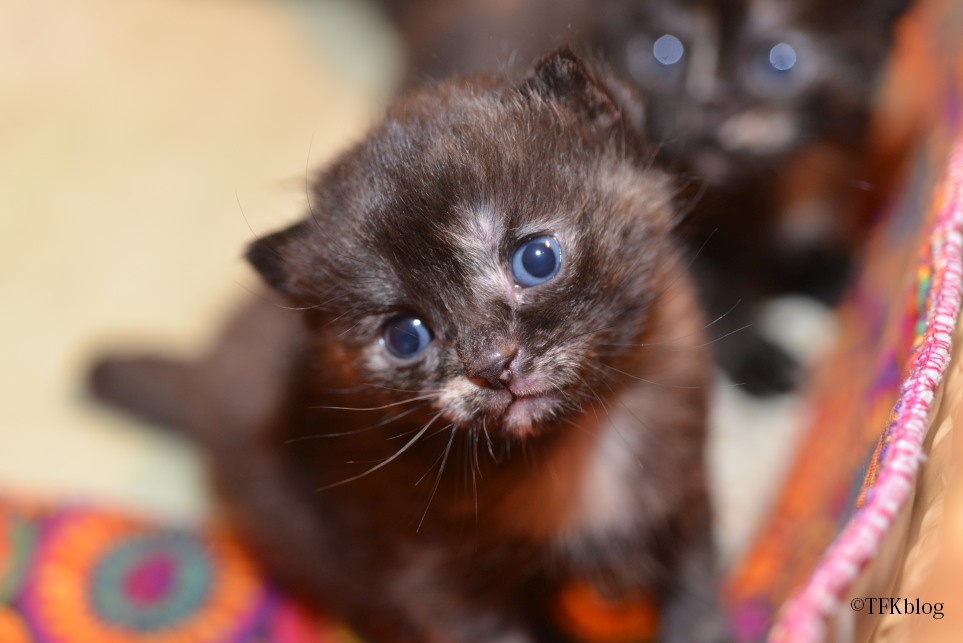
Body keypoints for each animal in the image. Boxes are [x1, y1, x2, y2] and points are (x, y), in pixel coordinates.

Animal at [91, 50, 728, 642]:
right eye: (405, 334)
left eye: (537, 258)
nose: (492, 364)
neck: (576, 448)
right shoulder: (437, 584)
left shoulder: (685, 496)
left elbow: (697, 605)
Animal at [374, 0, 913, 394]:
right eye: (664, 51)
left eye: (779, 62)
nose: (710, 104)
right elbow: (717, 296)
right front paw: (759, 361)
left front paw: (835, 271)